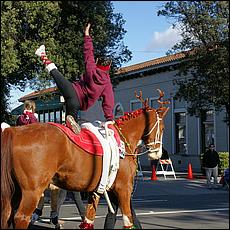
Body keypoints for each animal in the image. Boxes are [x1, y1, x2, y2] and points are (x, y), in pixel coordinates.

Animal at [1, 89, 169, 228]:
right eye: (162, 128)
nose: (157, 153)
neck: (122, 140)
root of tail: (13, 131)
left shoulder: (97, 191)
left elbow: (89, 220)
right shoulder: (123, 189)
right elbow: (128, 221)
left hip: (15, 191)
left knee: (7, 215)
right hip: (32, 191)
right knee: (21, 218)